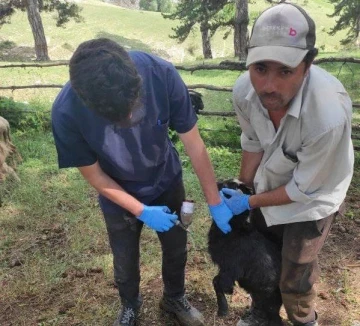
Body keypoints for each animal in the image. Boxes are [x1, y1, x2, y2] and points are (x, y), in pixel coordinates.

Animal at [208, 180, 284, 322]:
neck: (234, 229)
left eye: (226, 186)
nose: (216, 183)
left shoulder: (230, 268)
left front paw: (223, 308)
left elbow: (217, 281)